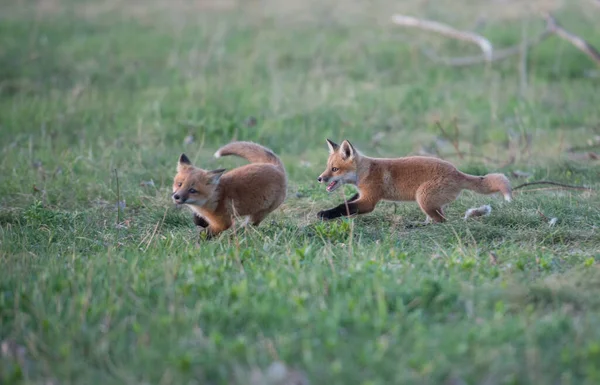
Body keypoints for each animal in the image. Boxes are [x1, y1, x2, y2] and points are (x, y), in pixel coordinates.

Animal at [314, 139, 510, 222]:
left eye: (334, 169)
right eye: (327, 167)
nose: (320, 178)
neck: (365, 172)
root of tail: (457, 172)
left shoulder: (369, 200)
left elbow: (344, 207)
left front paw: (326, 214)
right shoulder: (362, 194)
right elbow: (347, 202)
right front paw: (326, 212)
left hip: (422, 197)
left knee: (443, 221)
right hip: (431, 203)